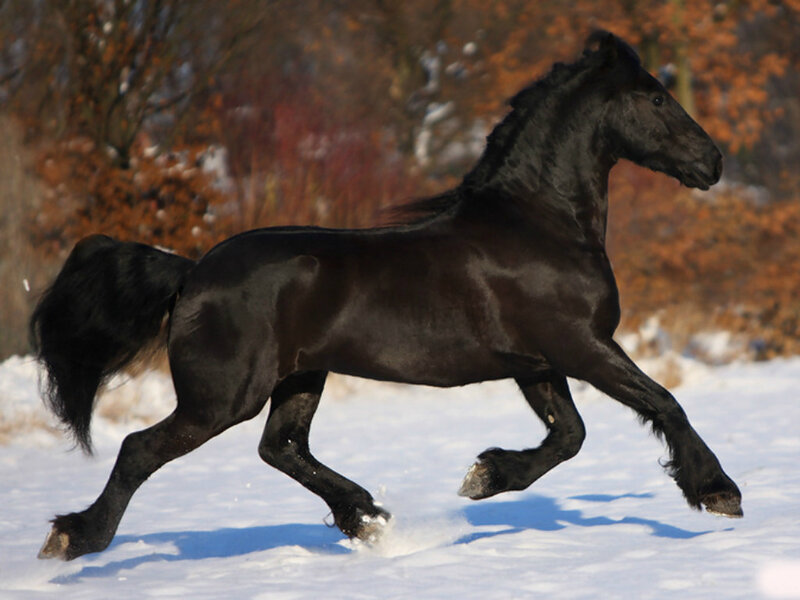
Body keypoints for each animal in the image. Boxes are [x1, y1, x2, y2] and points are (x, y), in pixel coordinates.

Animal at [31, 31, 741, 561]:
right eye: (655, 98)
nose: (713, 162)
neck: (539, 223)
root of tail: (193, 272)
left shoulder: (540, 363)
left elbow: (569, 435)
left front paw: (485, 476)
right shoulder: (583, 345)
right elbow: (663, 403)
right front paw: (718, 492)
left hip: (300, 378)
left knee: (280, 448)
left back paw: (368, 517)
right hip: (224, 396)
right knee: (141, 449)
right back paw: (73, 538)